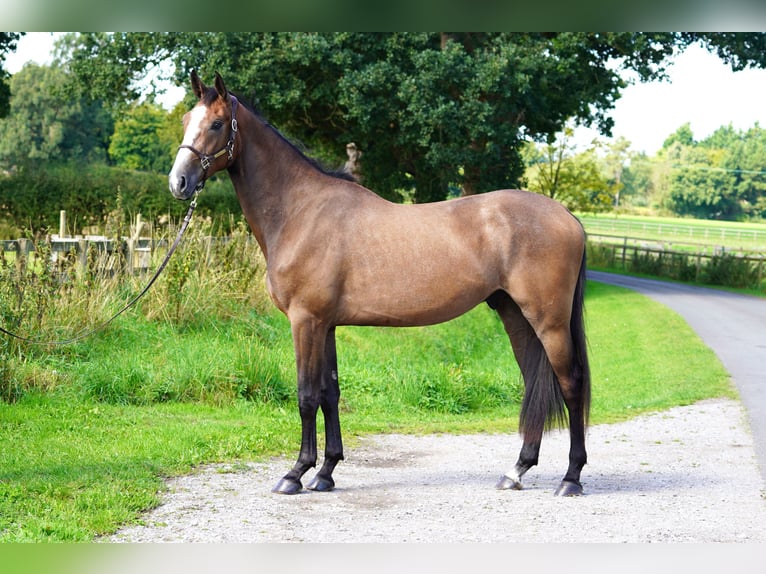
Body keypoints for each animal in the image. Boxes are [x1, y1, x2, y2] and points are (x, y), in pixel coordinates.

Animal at [168, 72, 592, 498]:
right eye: (187, 118)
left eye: (216, 123)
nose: (179, 183)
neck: (300, 211)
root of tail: (568, 217)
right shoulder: (326, 325)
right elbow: (330, 394)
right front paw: (326, 472)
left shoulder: (305, 321)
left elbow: (306, 395)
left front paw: (295, 474)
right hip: (514, 314)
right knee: (534, 383)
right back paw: (516, 471)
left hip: (549, 322)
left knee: (570, 384)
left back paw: (570, 478)